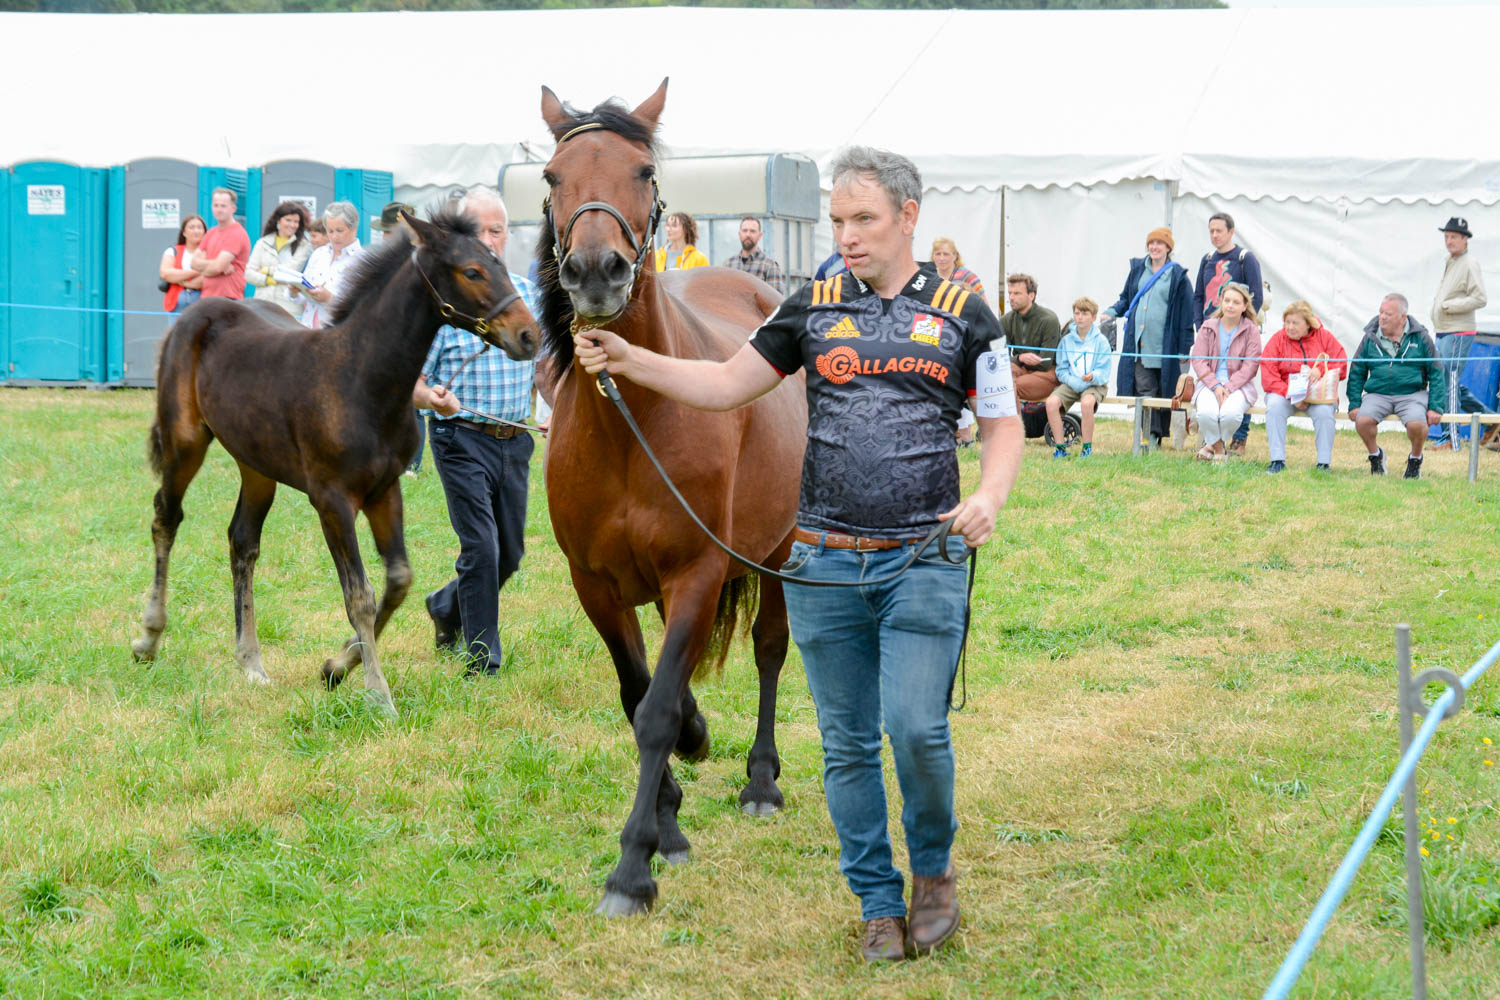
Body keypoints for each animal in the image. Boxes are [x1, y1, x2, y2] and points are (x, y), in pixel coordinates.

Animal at [130, 209, 539, 717]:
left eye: (500, 263)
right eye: (473, 271)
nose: (529, 335)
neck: (359, 379)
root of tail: (194, 316)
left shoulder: (385, 491)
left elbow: (399, 580)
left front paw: (337, 666)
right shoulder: (332, 501)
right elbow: (359, 594)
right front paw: (378, 694)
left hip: (257, 465)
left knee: (242, 542)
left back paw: (251, 661)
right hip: (185, 442)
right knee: (166, 518)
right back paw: (148, 638)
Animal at [537, 80, 808, 917]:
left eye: (644, 171)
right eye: (552, 176)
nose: (596, 271)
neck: (632, 419)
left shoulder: (697, 571)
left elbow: (656, 712)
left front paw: (633, 866)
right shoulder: (596, 584)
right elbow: (640, 694)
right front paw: (669, 824)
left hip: (779, 550)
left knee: (769, 649)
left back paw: (760, 781)